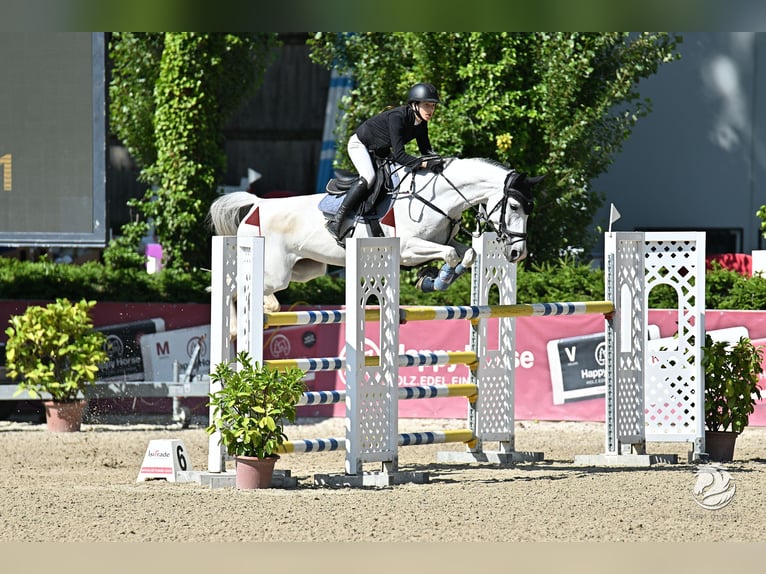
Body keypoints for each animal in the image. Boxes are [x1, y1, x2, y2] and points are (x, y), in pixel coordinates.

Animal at [208, 157, 543, 313]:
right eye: (514, 205)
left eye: (529, 209)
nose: (517, 253)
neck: (437, 197)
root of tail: (258, 204)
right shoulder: (408, 248)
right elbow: (449, 254)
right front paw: (435, 280)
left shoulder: (442, 241)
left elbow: (468, 253)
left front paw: (435, 279)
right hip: (275, 271)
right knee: (240, 290)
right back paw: (249, 319)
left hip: (307, 269)